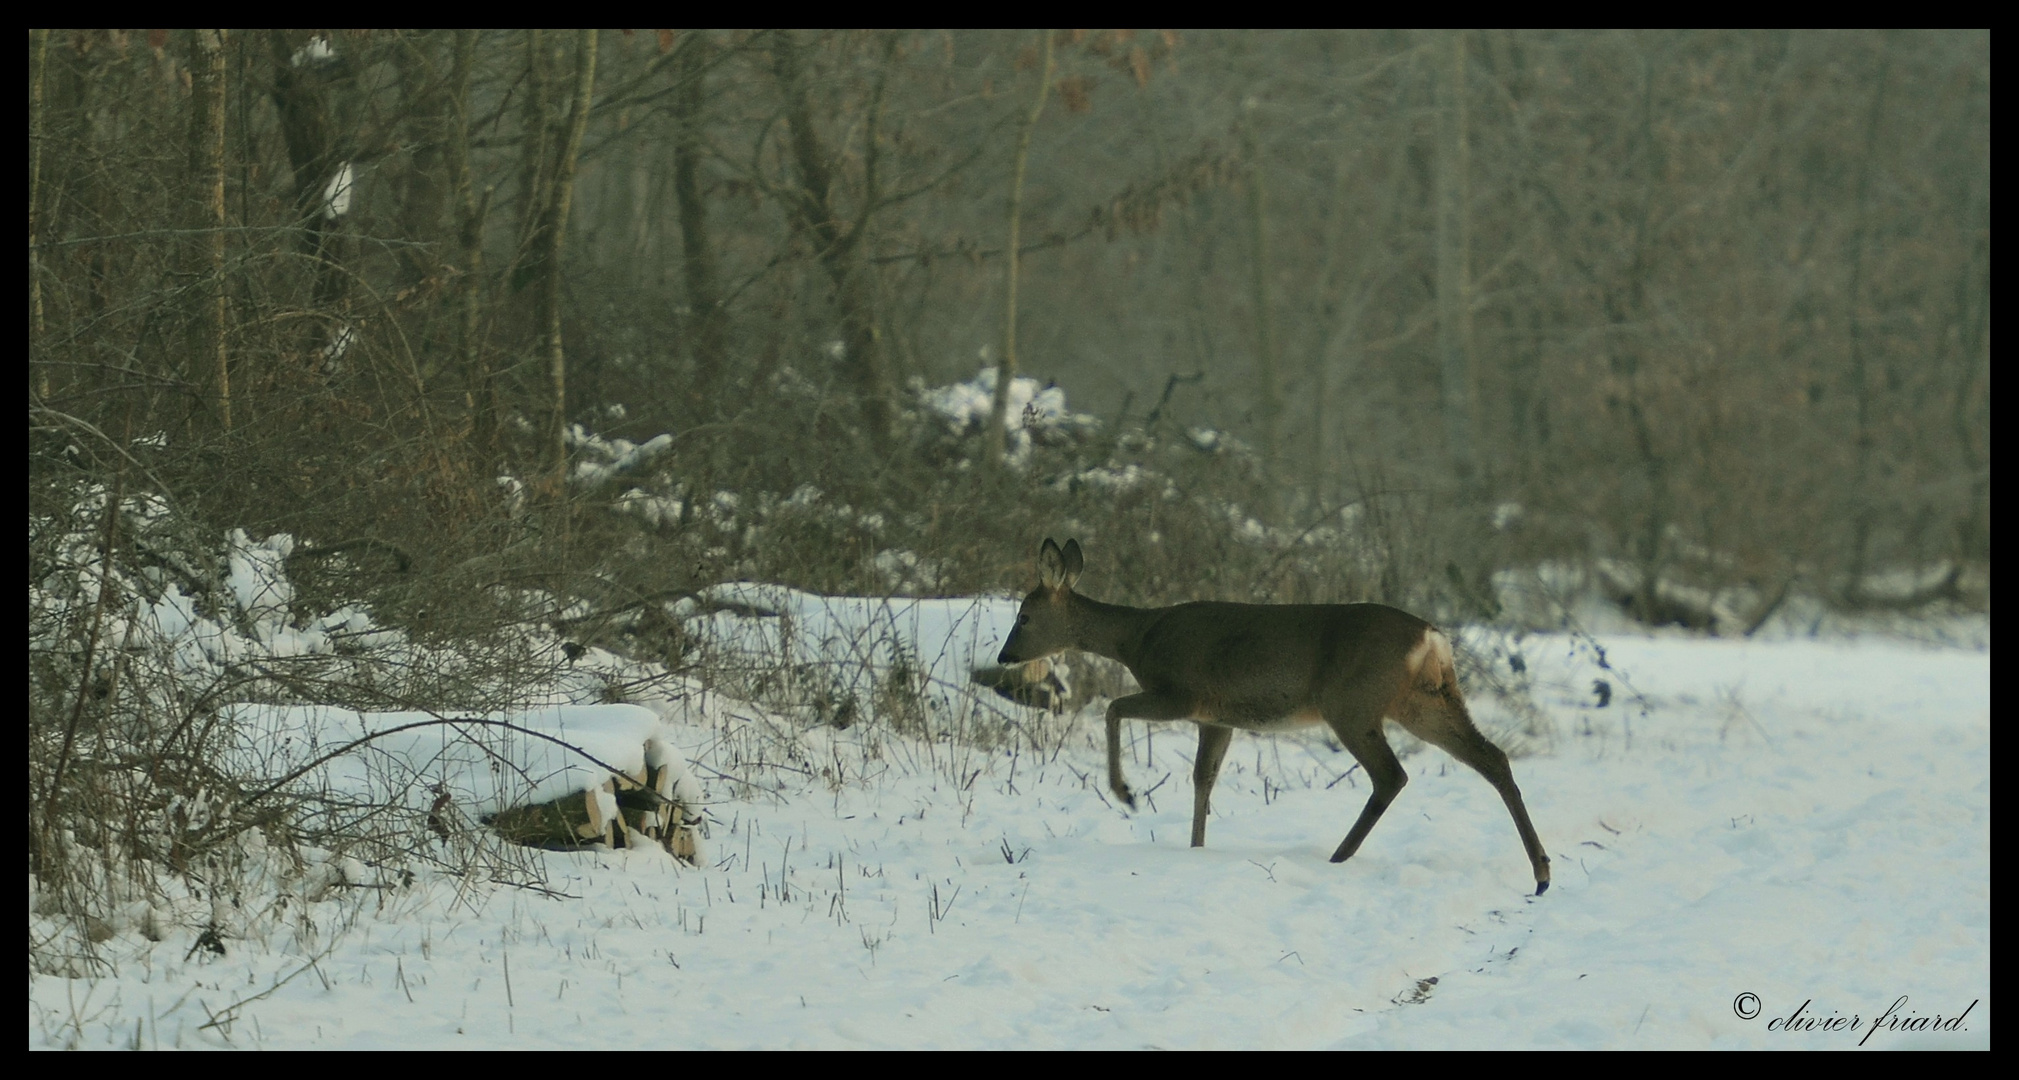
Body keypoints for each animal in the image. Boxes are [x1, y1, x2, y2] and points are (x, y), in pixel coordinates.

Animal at [1001, 532, 1550, 896]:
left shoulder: (1181, 692)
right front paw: (1196, 850)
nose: (1005, 656)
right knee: (1493, 758)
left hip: (1351, 702)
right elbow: (1203, 780)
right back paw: (1542, 872)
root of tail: (1432, 638)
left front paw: (1126, 793)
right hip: (1424, 700)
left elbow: (1114, 710)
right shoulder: (1216, 716)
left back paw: (1337, 858)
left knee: (1391, 775)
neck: (1139, 640)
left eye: (1023, 617)